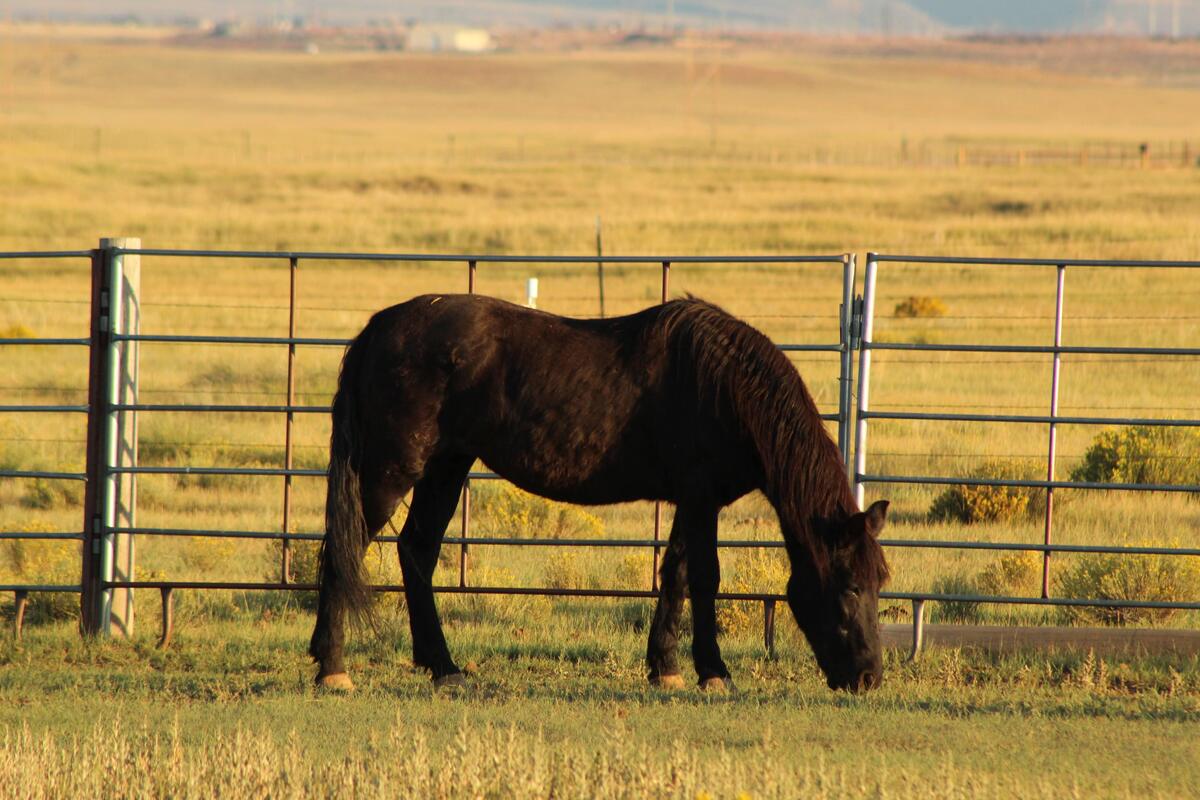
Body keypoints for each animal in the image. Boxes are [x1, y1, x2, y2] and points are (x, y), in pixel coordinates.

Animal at [309, 293, 890, 693]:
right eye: (850, 587)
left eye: (879, 582)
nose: (868, 677)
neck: (725, 387)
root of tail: (379, 328)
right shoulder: (701, 498)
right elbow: (704, 577)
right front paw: (712, 672)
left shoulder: (691, 502)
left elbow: (675, 572)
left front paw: (664, 668)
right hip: (391, 471)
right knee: (344, 551)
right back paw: (334, 669)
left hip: (445, 468)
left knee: (417, 552)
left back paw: (443, 667)